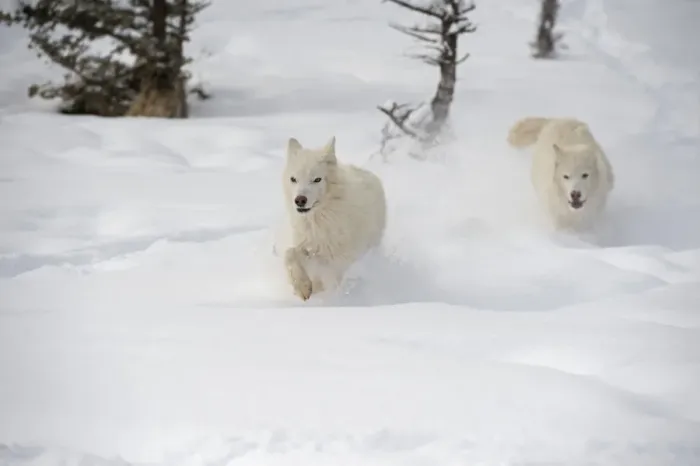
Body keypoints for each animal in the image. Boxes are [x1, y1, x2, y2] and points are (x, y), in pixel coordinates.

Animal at [280, 136, 387, 301]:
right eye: (293, 179)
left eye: (317, 179)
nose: (300, 200)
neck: (318, 221)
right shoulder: (305, 245)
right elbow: (289, 254)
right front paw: (302, 287)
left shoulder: (334, 260)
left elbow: (323, 276)